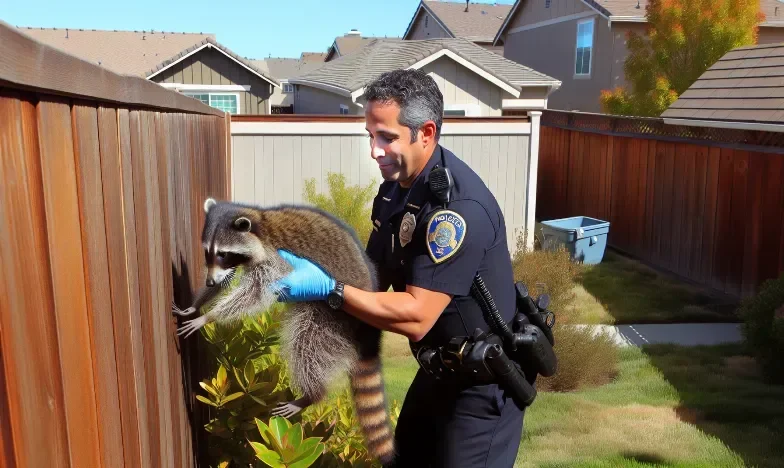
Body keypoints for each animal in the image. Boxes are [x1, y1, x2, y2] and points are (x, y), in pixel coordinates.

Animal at [176, 197, 398, 464]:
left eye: (223, 253)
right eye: (208, 253)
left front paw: (209, 316)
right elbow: (225, 282)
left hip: (333, 317)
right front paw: (198, 304)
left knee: (306, 344)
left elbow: (255, 293)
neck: (260, 226)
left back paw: (311, 394)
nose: (209, 281)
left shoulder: (276, 260)